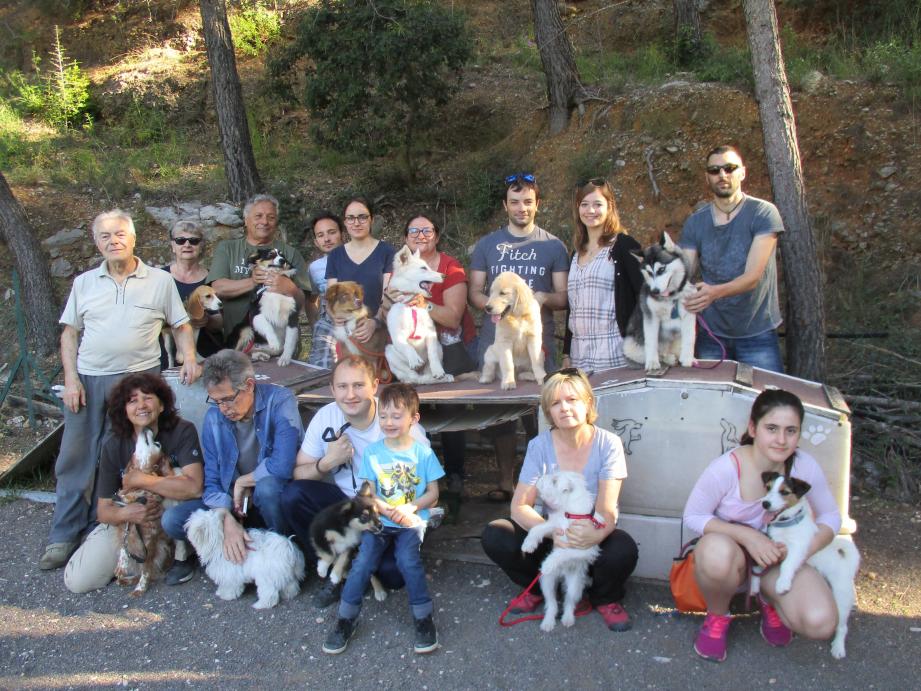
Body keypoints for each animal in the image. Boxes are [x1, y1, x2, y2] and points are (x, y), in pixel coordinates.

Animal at [382, 246, 452, 386]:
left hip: (439, 347)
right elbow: (407, 346)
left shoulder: (431, 333)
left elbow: (432, 354)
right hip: (390, 352)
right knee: (414, 377)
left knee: (427, 374)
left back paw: (441, 377)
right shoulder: (397, 337)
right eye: (423, 268)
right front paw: (414, 359)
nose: (444, 276)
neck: (411, 306)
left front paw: (438, 371)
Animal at [516, 474, 604, 628]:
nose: (539, 478)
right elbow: (537, 528)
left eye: (554, 480)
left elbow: (562, 553)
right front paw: (528, 544)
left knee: (569, 602)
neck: (570, 512)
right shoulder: (555, 524)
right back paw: (548, 622)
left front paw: (547, 564)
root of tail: (562, 575)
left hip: (575, 586)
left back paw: (567, 619)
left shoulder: (583, 546)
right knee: (552, 603)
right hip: (546, 581)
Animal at [620, 231, 692, 374]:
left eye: (661, 269)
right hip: (629, 345)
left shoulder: (688, 313)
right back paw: (667, 359)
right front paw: (652, 363)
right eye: (648, 272)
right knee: (658, 353)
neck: (670, 298)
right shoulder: (651, 317)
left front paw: (688, 358)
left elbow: (690, 338)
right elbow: (651, 342)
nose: (655, 291)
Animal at [760, 470, 860, 660]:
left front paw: (782, 583)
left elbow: (787, 564)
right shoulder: (772, 543)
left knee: (842, 627)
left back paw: (838, 647)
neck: (786, 524)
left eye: (784, 492)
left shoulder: (798, 548)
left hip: (841, 596)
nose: (765, 503)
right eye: (768, 488)